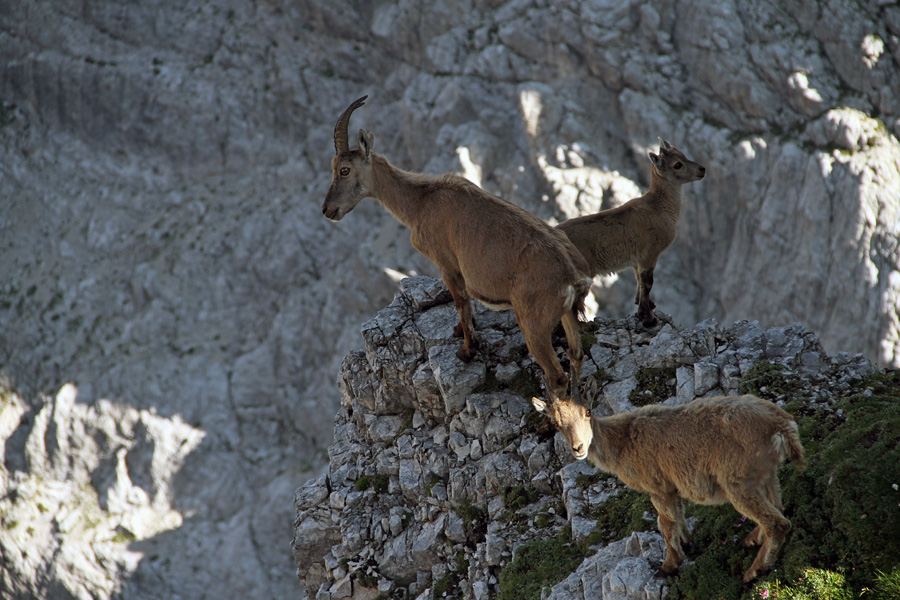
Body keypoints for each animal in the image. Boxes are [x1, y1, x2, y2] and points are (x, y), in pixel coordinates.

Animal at [321, 96, 592, 398]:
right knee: (577, 355)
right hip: (567, 314)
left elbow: (462, 302)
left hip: (534, 322)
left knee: (556, 375)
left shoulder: (447, 263)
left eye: (344, 170)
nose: (327, 209)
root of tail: (573, 277)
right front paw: (460, 333)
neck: (420, 202)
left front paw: (466, 351)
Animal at [532, 382, 804, 583]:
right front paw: (687, 544)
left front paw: (668, 566)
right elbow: (678, 516)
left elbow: (666, 523)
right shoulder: (673, 489)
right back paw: (753, 540)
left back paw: (754, 571)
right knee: (777, 507)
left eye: (587, 411)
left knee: (778, 522)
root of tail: (781, 424)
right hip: (766, 475)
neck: (623, 440)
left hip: (738, 482)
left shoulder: (658, 488)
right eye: (556, 423)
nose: (578, 448)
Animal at [556, 140, 705, 327]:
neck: (659, 206)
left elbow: (639, 282)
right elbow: (647, 284)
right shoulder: (650, 254)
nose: (702, 169)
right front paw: (648, 319)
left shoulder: (637, 260)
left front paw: (646, 307)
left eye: (683, 155)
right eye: (677, 164)